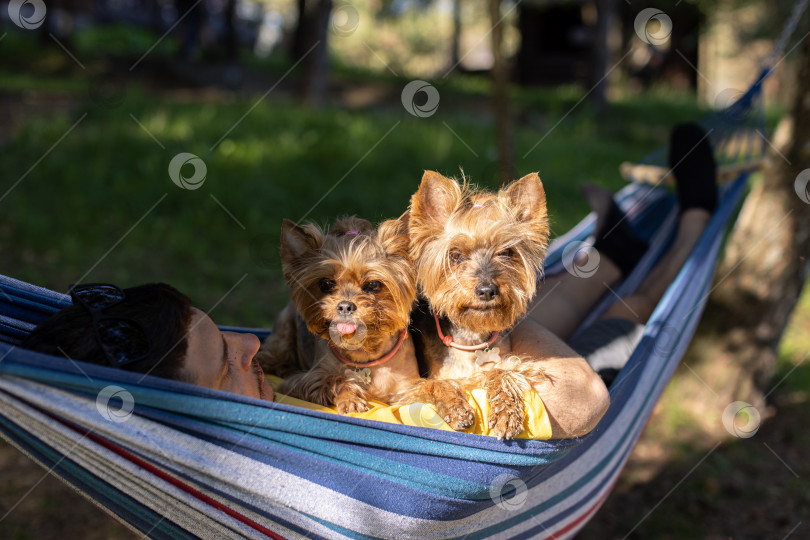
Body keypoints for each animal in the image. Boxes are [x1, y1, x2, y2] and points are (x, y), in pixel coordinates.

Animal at [256, 215, 420, 414]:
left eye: (374, 285)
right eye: (325, 284)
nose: (345, 306)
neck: (363, 355)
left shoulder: (407, 386)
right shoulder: (301, 381)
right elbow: (335, 378)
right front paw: (351, 398)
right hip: (282, 335)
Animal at [398, 171, 548, 440]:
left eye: (506, 252)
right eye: (455, 255)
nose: (487, 290)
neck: (470, 335)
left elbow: (503, 371)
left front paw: (507, 412)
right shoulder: (417, 384)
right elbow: (435, 384)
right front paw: (455, 406)